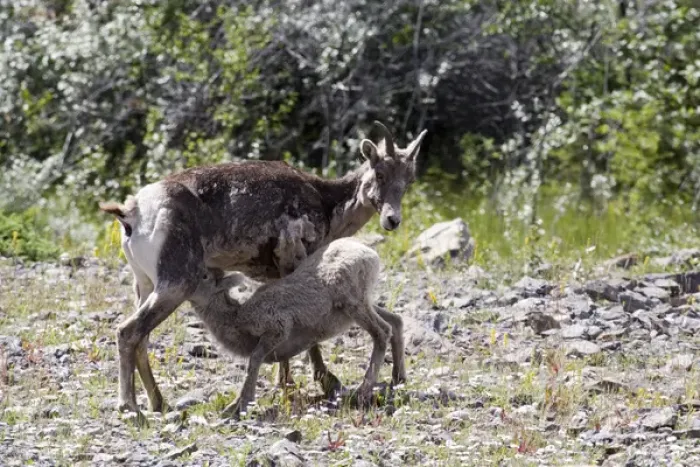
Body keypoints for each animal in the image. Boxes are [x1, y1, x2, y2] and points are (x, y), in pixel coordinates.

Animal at [187, 237, 406, 418]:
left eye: (204, 276)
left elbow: (254, 360)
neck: (236, 317)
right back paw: (398, 380)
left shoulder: (278, 328)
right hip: (363, 306)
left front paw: (238, 406)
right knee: (395, 321)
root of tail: (370, 254)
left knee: (382, 332)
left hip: (354, 305)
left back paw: (362, 392)